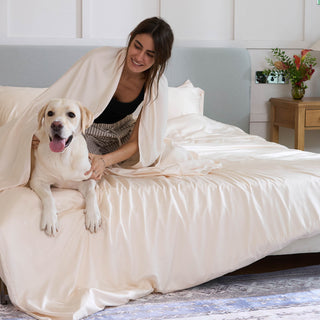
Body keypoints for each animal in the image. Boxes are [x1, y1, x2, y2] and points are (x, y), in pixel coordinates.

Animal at [29, 99, 100, 236]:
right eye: (50, 113)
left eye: (71, 115)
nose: (56, 125)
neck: (63, 156)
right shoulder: (37, 181)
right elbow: (48, 196)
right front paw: (50, 219)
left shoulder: (87, 179)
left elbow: (92, 193)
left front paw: (93, 216)